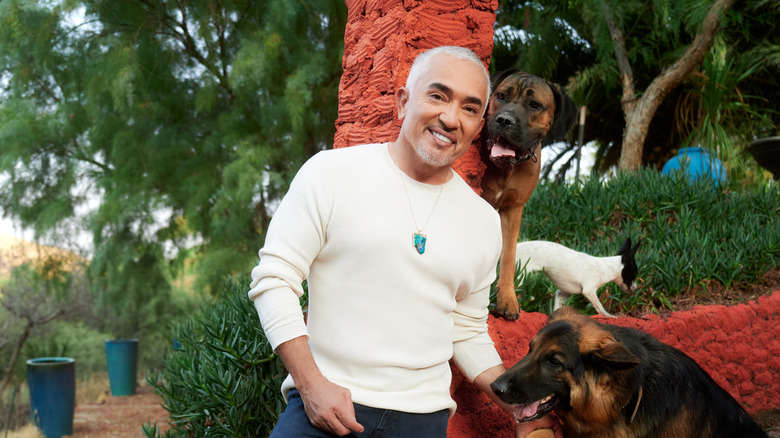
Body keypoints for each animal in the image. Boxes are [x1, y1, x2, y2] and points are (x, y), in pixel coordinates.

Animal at [478, 70, 576, 320]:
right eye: (501, 96)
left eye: (534, 105)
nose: (504, 120)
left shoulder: (513, 211)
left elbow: (508, 256)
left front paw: (507, 299)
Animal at [512, 238, 640, 316]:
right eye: (634, 274)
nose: (636, 289)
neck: (605, 268)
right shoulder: (589, 291)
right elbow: (600, 308)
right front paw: (610, 316)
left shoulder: (563, 293)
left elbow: (557, 308)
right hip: (519, 276)